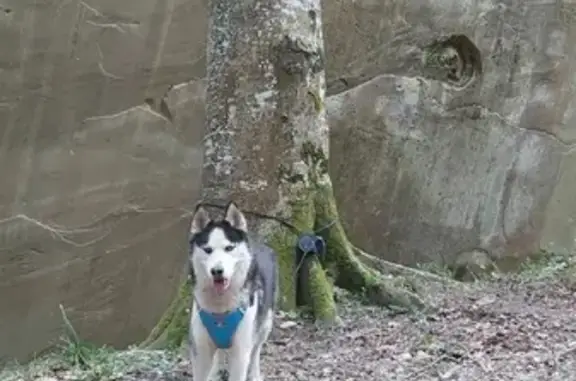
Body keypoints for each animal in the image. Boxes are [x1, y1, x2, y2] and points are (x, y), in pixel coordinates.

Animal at [189, 202, 280, 380]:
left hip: (265, 323)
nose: (217, 271)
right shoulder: (201, 352)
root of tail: (260, 244)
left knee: (256, 350)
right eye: (208, 250)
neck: (220, 309)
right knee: (219, 353)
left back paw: (255, 373)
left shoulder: (240, 352)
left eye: (229, 248)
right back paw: (215, 372)